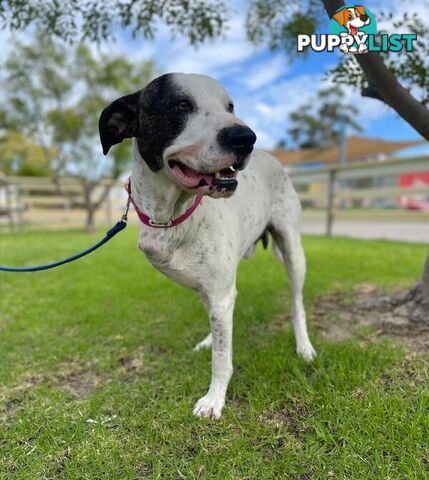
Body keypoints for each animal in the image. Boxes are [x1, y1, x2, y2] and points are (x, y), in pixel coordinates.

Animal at [98, 72, 316, 420]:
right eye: (180, 105)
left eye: (230, 106)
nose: (246, 138)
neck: (175, 214)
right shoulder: (213, 288)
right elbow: (219, 333)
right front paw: (210, 347)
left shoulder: (222, 293)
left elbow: (222, 359)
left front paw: (214, 399)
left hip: (293, 252)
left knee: (297, 304)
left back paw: (304, 347)